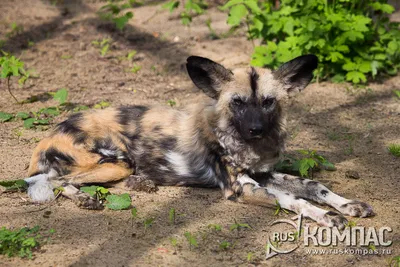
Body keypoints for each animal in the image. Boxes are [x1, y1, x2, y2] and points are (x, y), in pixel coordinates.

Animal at [24, 55, 376, 230]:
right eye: (237, 103)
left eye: (268, 102)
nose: (256, 129)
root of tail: (50, 133)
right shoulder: (241, 187)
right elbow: (295, 200)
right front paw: (328, 217)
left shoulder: (262, 174)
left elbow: (314, 186)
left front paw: (347, 205)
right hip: (116, 162)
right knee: (57, 181)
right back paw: (86, 199)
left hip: (119, 166)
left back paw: (140, 184)